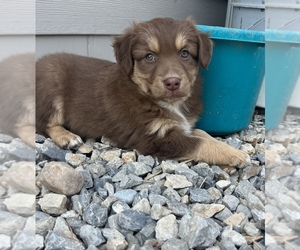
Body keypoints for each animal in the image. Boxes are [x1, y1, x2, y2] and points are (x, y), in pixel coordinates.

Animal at [36, 17, 250, 166]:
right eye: (149, 57)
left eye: (185, 53)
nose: (173, 82)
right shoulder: (154, 138)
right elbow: (198, 143)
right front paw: (236, 154)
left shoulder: (182, 127)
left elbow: (202, 133)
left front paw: (229, 148)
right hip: (52, 82)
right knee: (43, 123)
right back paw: (67, 137)